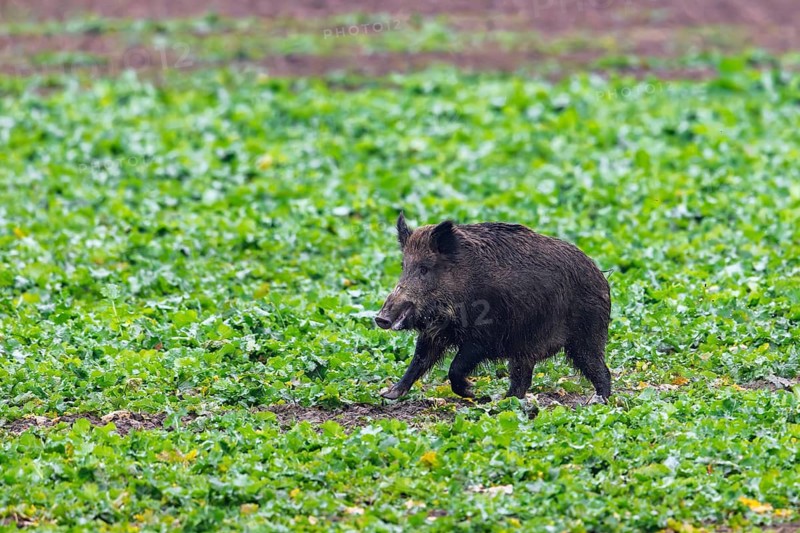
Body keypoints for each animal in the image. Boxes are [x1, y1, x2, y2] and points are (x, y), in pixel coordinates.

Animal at [375, 213, 611, 401]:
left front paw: (472, 392)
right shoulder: (434, 334)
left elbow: (454, 368)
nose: (380, 318)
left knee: (600, 369)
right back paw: (505, 402)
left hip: (586, 336)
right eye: (403, 267)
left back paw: (598, 401)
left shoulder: (484, 338)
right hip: (526, 349)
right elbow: (418, 361)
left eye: (424, 269)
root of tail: (601, 277)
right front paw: (388, 394)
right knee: (522, 379)